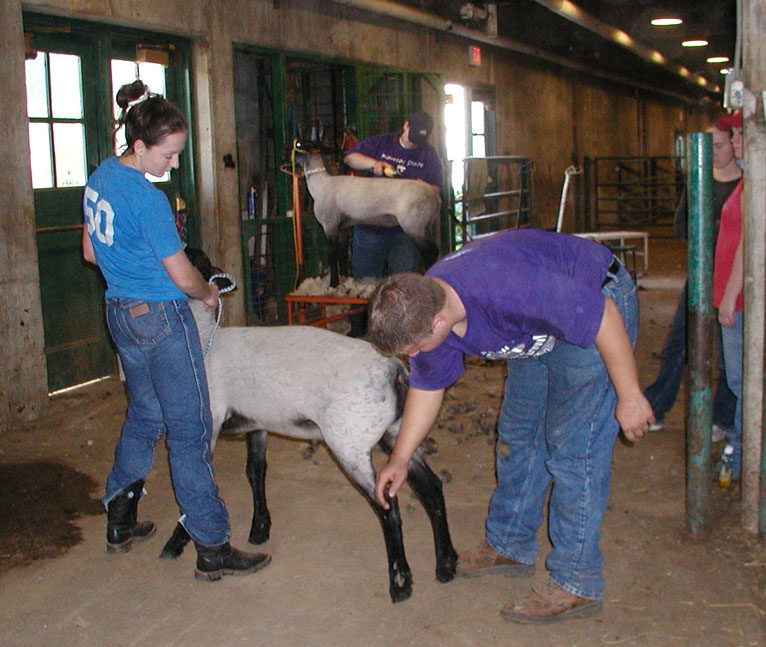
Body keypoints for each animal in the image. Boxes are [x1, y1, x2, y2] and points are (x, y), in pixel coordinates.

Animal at [159, 255, 457, 603]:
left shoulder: (210, 420)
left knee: (388, 506)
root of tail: (395, 369)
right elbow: (255, 472)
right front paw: (260, 529)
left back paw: (400, 583)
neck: (206, 338)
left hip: (349, 442)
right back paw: (446, 565)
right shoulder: (258, 423)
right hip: (396, 431)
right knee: (431, 489)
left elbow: (196, 486)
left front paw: (175, 544)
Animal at [295, 149, 441, 287]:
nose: (288, 159)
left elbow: (332, 254)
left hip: (414, 226)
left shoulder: (329, 224)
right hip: (427, 226)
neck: (320, 185)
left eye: (298, 145)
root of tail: (435, 196)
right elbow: (342, 254)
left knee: (432, 252)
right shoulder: (342, 227)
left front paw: (333, 283)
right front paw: (344, 278)